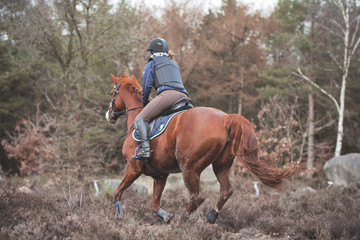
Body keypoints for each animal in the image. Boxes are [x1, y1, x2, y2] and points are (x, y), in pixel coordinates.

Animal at [105, 74, 296, 224]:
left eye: (112, 93)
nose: (109, 114)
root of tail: (225, 118)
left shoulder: (132, 169)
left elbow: (117, 192)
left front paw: (118, 214)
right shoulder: (160, 176)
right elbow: (154, 203)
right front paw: (165, 216)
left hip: (189, 167)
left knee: (197, 196)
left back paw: (182, 219)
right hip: (220, 165)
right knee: (226, 190)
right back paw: (211, 217)